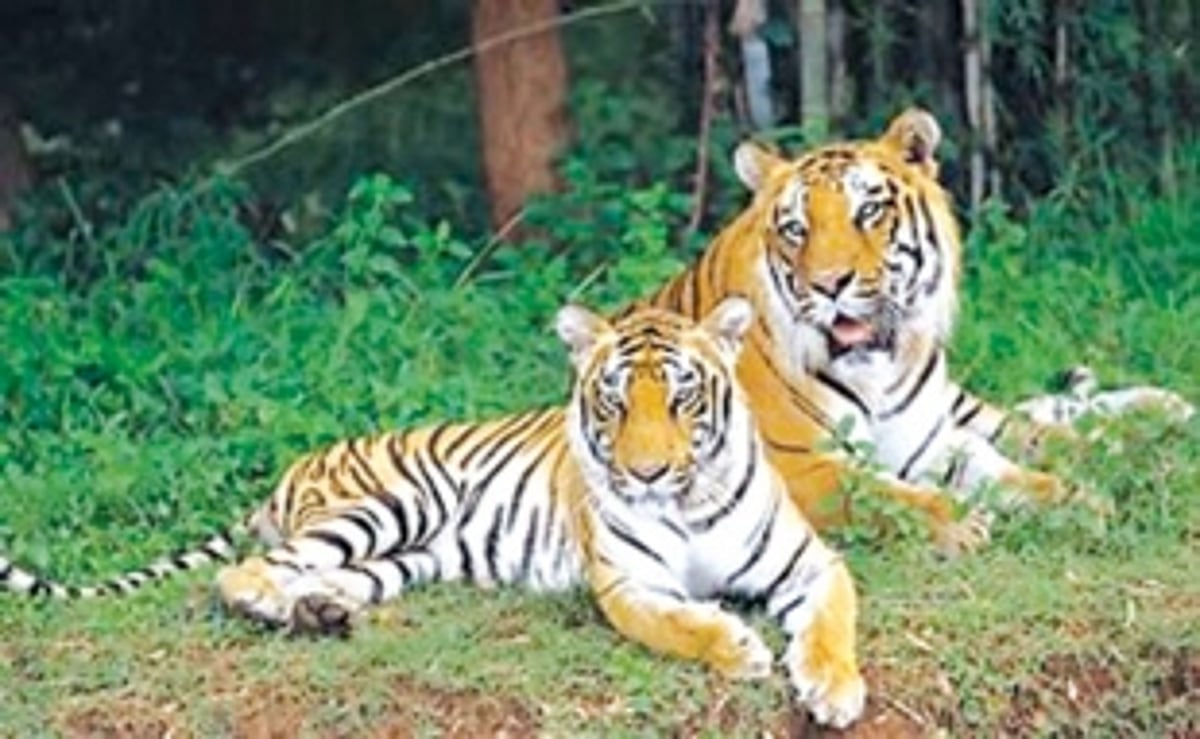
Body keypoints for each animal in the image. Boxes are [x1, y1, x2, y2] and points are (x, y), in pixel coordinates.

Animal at [1, 298, 866, 729]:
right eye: (616, 400)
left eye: (681, 395)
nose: (646, 470)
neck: (682, 503)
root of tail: (287, 472)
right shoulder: (628, 587)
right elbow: (679, 622)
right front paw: (740, 647)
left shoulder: (810, 562)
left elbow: (832, 617)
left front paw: (832, 689)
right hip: (391, 504)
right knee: (245, 571)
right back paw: (279, 605)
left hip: (409, 555)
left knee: (327, 578)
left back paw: (320, 611)